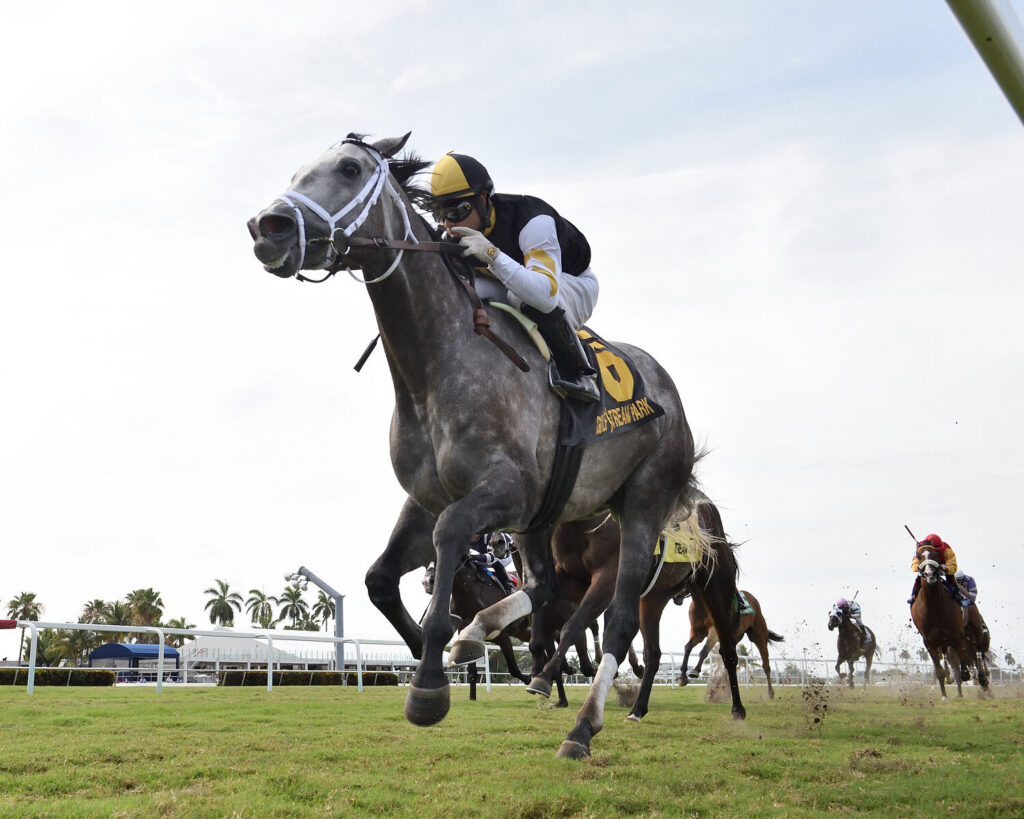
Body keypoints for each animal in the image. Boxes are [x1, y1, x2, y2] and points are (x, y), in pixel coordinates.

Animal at [248, 133, 701, 759]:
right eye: (298, 171)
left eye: (349, 168)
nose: (266, 226)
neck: (435, 366)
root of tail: (668, 388)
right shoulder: (428, 498)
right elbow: (379, 579)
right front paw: (434, 661)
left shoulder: (505, 491)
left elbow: (450, 535)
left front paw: (430, 679)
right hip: (545, 516)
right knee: (544, 585)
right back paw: (481, 637)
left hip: (641, 505)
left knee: (616, 619)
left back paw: (582, 727)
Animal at [522, 493, 748, 722]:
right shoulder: (569, 577)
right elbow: (543, 625)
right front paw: (538, 668)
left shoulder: (608, 575)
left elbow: (573, 625)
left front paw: (544, 676)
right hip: (652, 599)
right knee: (653, 654)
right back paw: (637, 709)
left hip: (716, 591)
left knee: (728, 651)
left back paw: (738, 708)